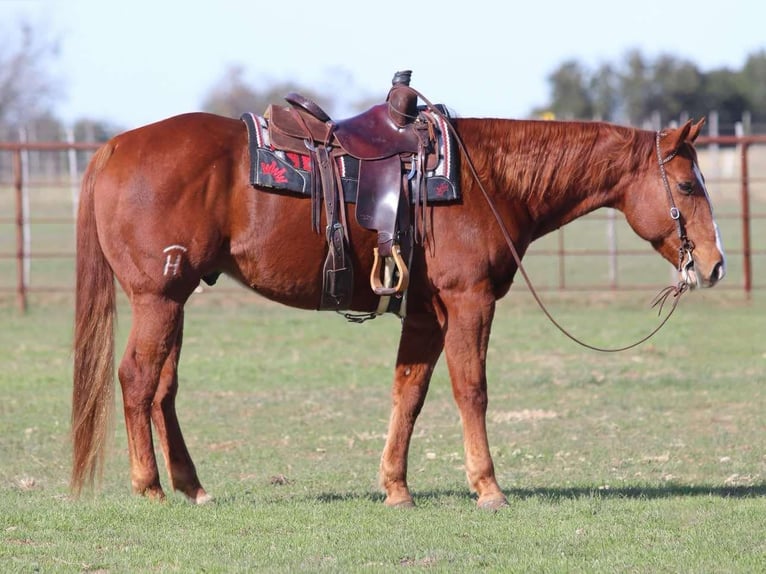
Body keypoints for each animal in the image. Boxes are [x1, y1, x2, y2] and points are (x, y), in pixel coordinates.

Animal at [71, 110, 726, 509]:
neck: (485, 179)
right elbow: (471, 390)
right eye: (688, 185)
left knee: (163, 389)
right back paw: (149, 487)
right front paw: (488, 487)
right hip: (158, 299)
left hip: (175, 301)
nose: (716, 264)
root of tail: (114, 147)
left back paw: (191, 486)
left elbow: (408, 391)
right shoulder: (468, 301)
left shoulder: (426, 313)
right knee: (137, 379)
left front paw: (396, 487)